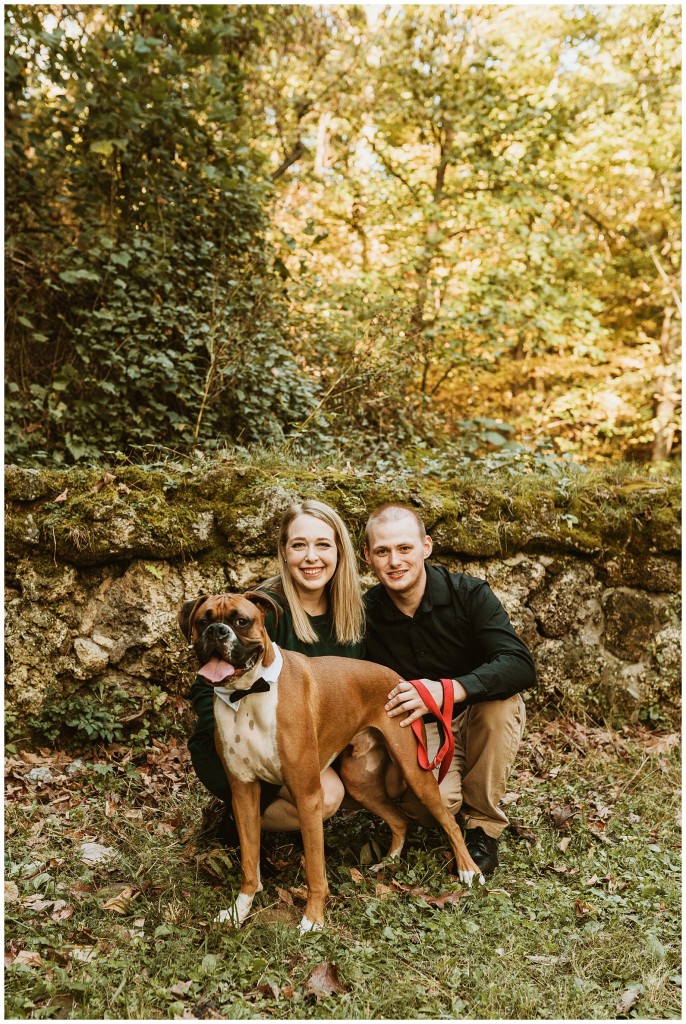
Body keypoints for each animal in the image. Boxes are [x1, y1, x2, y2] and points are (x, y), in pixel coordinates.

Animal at [180, 589, 487, 933]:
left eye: (241, 621)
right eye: (202, 621)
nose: (216, 632)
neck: (249, 693)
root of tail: (398, 678)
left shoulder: (308, 796)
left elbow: (315, 870)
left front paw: (313, 919)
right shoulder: (244, 792)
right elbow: (248, 862)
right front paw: (240, 910)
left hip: (414, 771)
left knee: (449, 821)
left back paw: (469, 870)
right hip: (359, 782)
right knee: (399, 820)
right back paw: (390, 861)